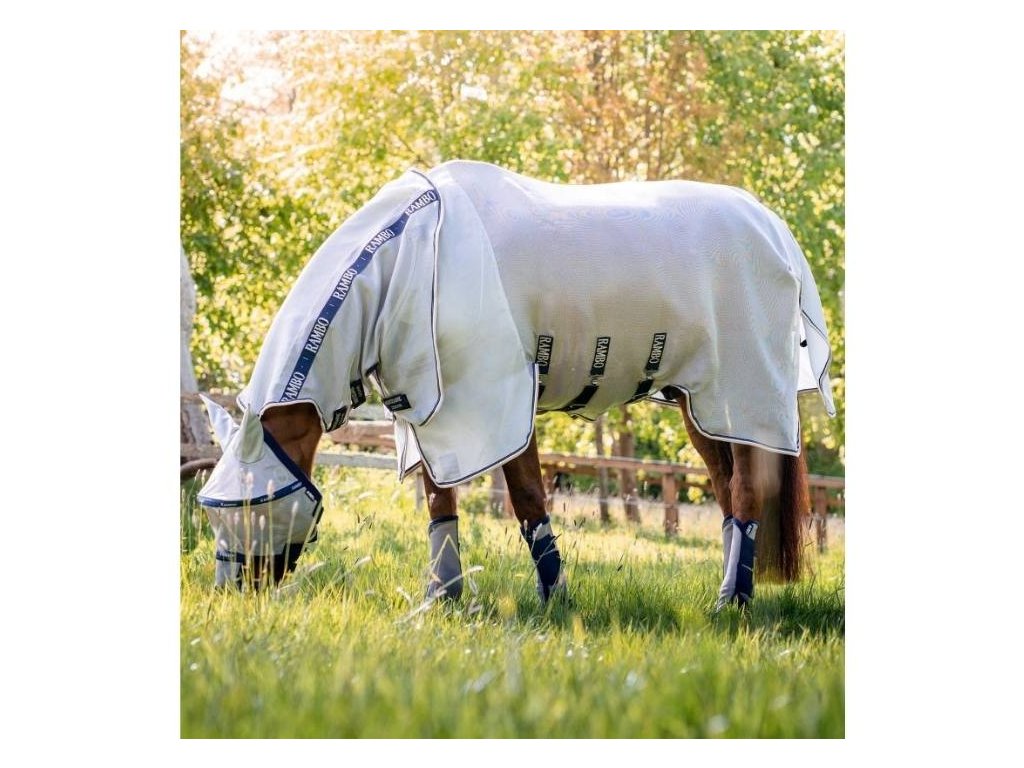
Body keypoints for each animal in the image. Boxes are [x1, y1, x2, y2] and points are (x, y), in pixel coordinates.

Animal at [196, 160, 834, 609]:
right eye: (211, 511)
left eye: (253, 504)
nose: (231, 592)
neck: (412, 254)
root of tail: (773, 227)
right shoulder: (429, 411)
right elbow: (439, 502)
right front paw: (442, 600)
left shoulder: (496, 399)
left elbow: (527, 499)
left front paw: (556, 604)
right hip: (699, 403)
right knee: (727, 491)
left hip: (744, 394)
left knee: (745, 490)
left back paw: (731, 604)